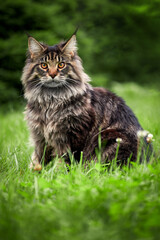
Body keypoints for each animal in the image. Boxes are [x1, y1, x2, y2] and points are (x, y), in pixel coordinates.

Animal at [21, 30, 151, 170]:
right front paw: (34, 172)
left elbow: (66, 161)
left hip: (109, 136)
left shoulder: (73, 136)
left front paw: (60, 173)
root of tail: (148, 160)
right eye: (44, 65)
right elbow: (37, 160)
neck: (51, 100)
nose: (52, 74)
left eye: (61, 65)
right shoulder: (40, 137)